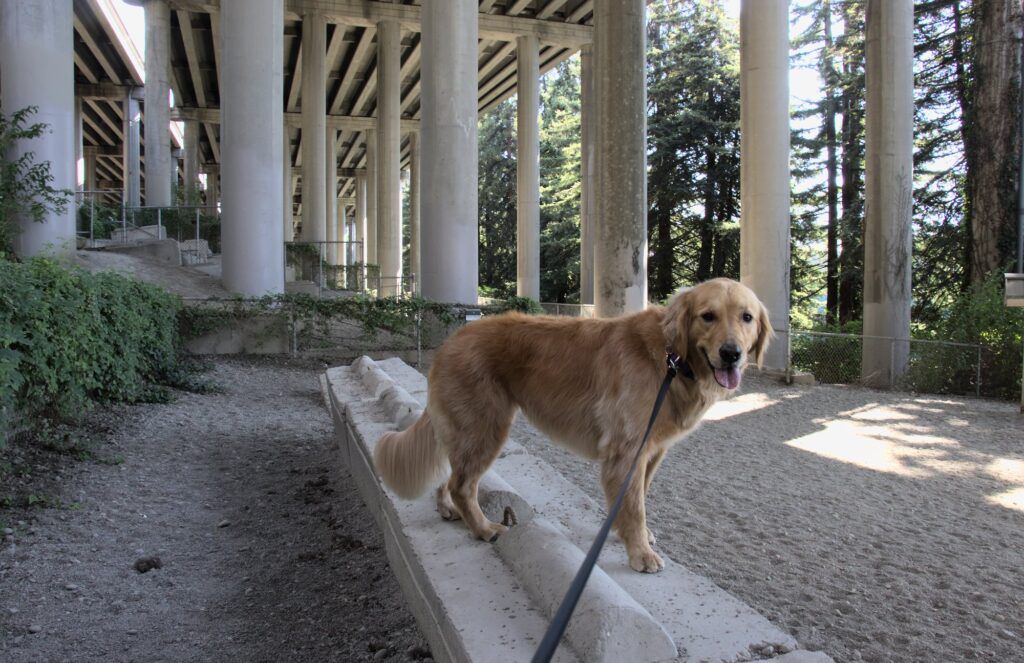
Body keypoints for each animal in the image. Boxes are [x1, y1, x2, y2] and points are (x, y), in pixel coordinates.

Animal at [374, 276, 770, 573]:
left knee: (450, 474)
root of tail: (452, 341)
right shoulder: (627, 451)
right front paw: (640, 553)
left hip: (467, 428)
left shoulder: (652, 453)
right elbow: (634, 506)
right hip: (486, 427)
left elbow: (637, 498)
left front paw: (633, 537)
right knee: (462, 484)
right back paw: (483, 528)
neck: (672, 359)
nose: (732, 353)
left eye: (746, 317)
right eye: (708, 316)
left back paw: (449, 511)